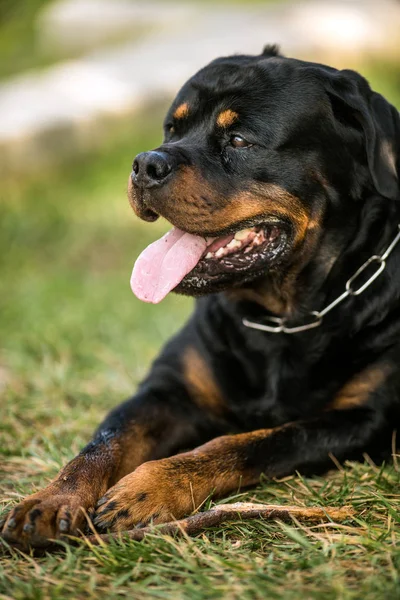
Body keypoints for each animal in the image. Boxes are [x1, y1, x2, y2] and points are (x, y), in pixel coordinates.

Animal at [3, 44, 400, 548]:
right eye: (172, 129)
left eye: (240, 140)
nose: (145, 163)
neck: (281, 318)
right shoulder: (167, 392)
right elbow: (105, 440)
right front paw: (53, 498)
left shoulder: (361, 420)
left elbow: (247, 442)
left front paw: (151, 487)